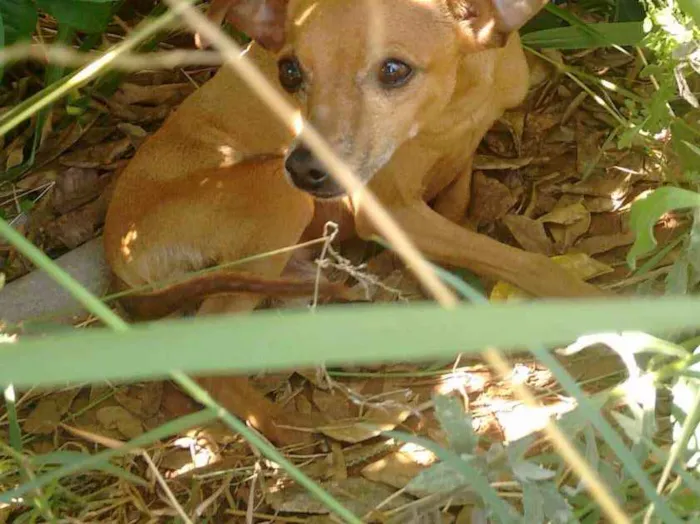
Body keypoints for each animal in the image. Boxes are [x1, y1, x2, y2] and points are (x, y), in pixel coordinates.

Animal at [104, 0, 600, 446]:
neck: (454, 107)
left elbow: (462, 204)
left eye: (395, 70)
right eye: (289, 73)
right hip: (278, 194)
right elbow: (531, 263)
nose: (305, 167)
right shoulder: (390, 212)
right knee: (209, 355)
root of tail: (117, 257)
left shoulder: (461, 156)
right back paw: (295, 426)